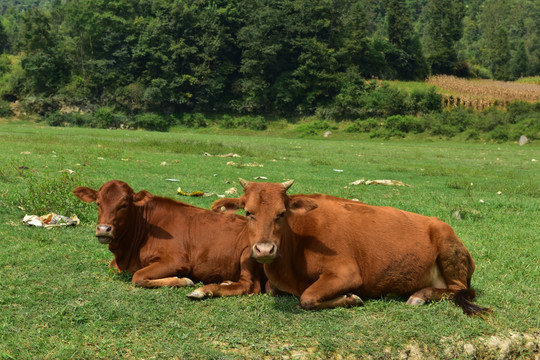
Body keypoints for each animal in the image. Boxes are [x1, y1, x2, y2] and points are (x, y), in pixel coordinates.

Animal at [73, 179, 264, 296]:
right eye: (98, 203)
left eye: (124, 205)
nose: (103, 229)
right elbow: (113, 267)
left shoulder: (177, 261)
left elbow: (138, 277)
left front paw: (182, 280)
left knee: (249, 285)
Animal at [209, 178, 492, 316]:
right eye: (248, 212)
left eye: (281, 213)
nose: (265, 250)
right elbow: (272, 289)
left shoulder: (346, 272)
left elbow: (307, 298)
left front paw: (350, 298)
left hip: (448, 249)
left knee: (460, 291)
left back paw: (420, 295)